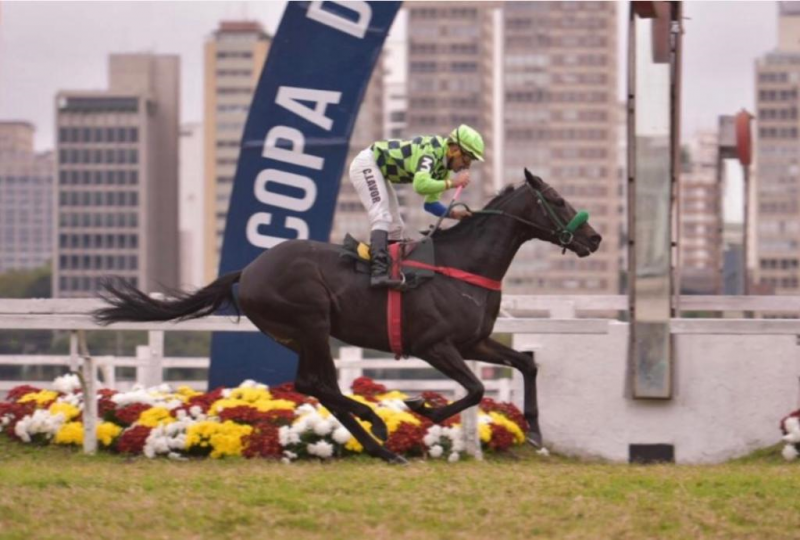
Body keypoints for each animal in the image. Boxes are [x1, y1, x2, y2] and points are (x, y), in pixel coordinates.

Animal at [94, 170, 600, 464]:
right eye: (556, 199)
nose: (593, 238)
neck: (463, 264)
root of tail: (250, 269)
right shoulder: (434, 346)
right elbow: (475, 390)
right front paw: (422, 407)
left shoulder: (472, 341)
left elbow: (527, 364)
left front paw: (535, 431)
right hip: (312, 323)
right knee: (314, 384)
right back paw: (378, 426)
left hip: (306, 335)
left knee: (320, 387)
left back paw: (382, 447)